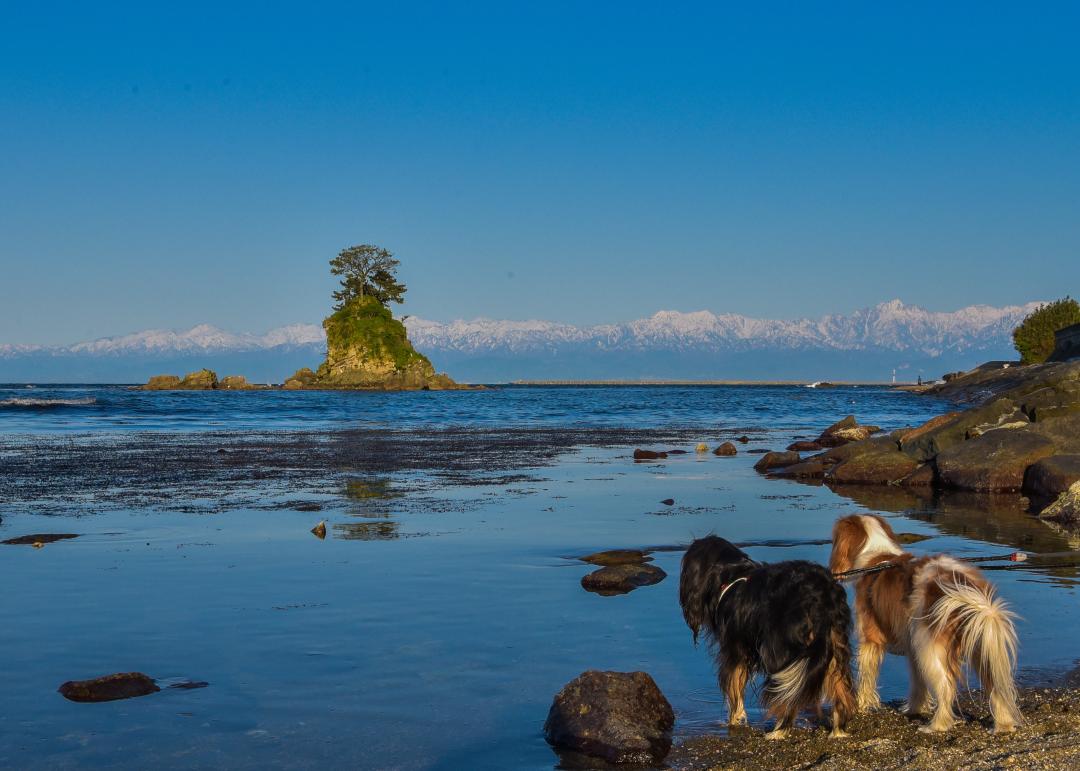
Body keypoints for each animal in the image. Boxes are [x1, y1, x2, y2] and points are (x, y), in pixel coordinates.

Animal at [682, 535, 851, 738]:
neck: (731, 574)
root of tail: (822, 594)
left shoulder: (735, 650)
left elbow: (734, 689)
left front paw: (734, 721)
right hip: (834, 642)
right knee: (839, 686)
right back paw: (838, 731)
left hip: (780, 649)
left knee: (786, 695)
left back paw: (778, 731)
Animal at [825, 514, 1019, 729]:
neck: (877, 559)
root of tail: (963, 584)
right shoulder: (913, 648)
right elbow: (918, 682)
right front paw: (915, 709)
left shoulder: (871, 639)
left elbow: (866, 676)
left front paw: (860, 706)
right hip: (979, 643)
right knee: (995, 686)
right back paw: (1003, 724)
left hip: (930, 647)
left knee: (946, 687)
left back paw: (937, 726)